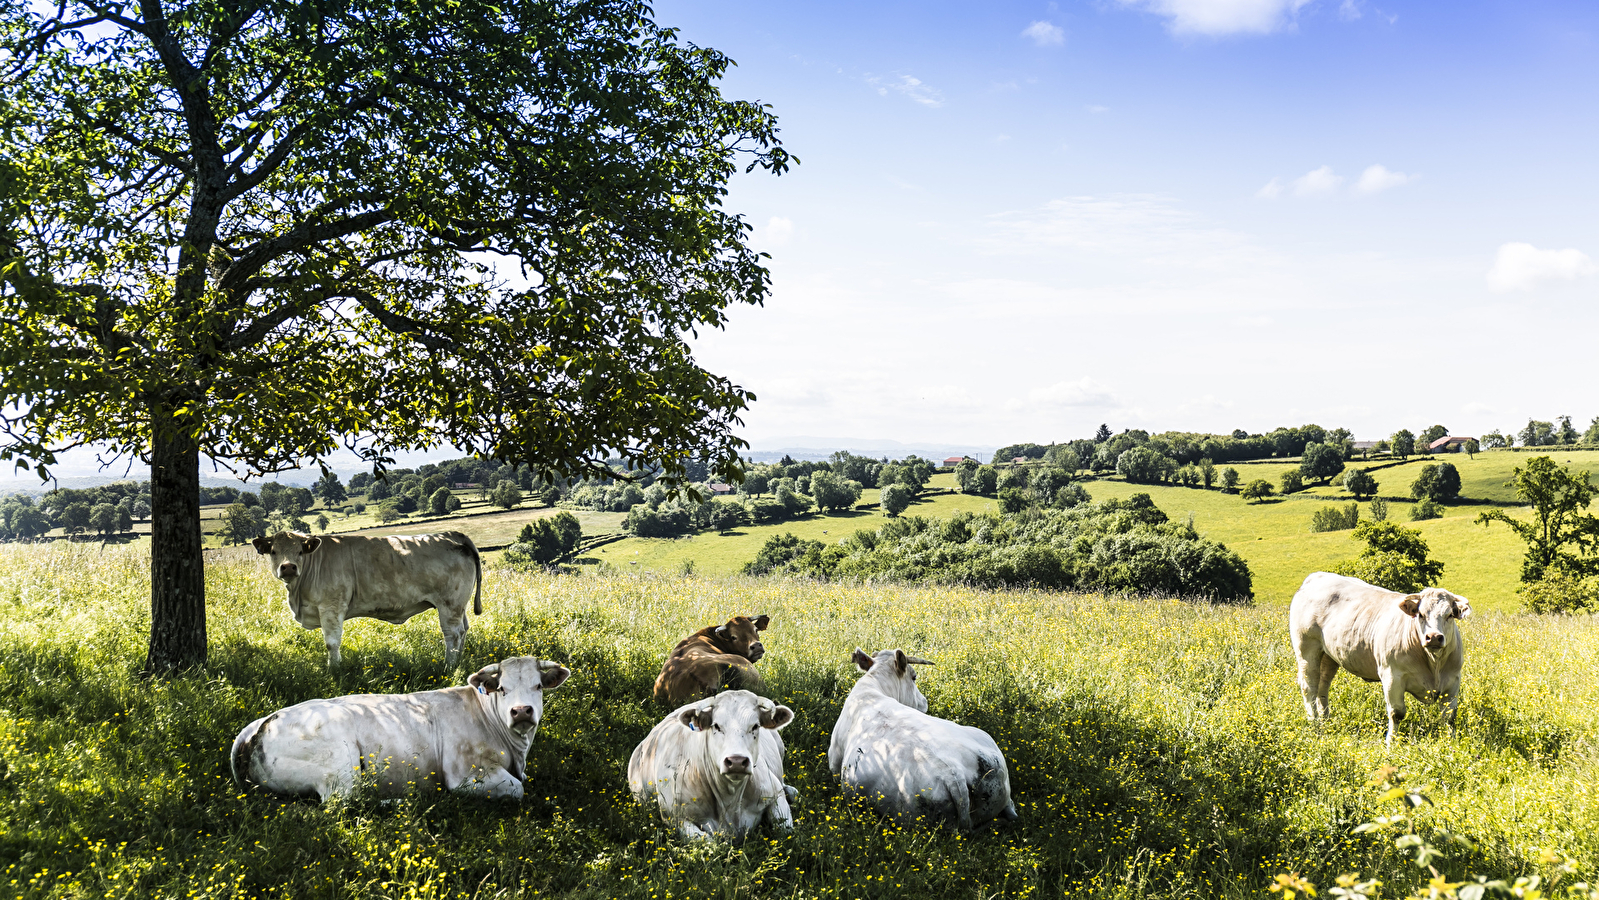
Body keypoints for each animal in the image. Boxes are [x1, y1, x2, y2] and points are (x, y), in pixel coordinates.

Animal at [231, 655, 569, 802]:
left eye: (538, 686)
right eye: (502, 688)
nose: (521, 711)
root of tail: (262, 723)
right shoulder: (467, 774)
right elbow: (518, 789)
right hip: (340, 769)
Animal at [251, 527, 479, 668]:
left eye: (300, 551)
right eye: (273, 551)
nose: (288, 567)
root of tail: (451, 534)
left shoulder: (331, 606)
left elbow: (331, 642)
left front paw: (334, 669)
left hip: (449, 604)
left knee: (452, 634)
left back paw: (449, 665)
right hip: (459, 606)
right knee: (464, 629)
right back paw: (459, 661)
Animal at [626, 690, 796, 844]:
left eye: (755, 726)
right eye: (716, 726)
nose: (736, 761)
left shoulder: (775, 793)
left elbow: (786, 833)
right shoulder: (675, 818)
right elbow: (709, 842)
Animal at [1285, 578, 1471, 748]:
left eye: (1449, 615)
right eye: (1420, 614)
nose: (1433, 637)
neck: (1433, 664)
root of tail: (1317, 577)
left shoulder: (1453, 679)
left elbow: (1449, 715)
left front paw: (1450, 742)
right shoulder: (1392, 676)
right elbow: (1397, 713)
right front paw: (1391, 743)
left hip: (1329, 656)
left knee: (1322, 687)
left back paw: (1325, 720)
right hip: (1306, 650)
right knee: (1309, 687)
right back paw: (1314, 722)